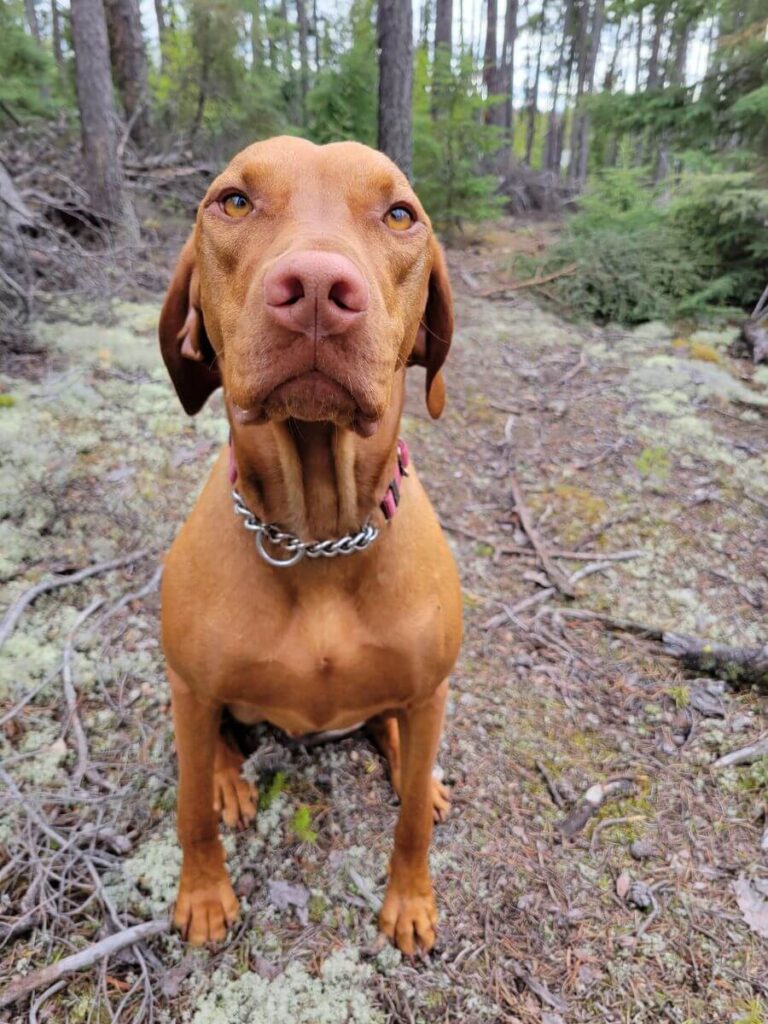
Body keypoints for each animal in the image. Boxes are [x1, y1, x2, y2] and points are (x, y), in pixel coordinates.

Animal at [157, 134, 462, 950]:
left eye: (400, 214)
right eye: (233, 201)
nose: (320, 288)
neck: (319, 533)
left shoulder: (431, 688)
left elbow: (410, 826)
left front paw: (410, 902)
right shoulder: (191, 685)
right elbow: (189, 809)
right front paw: (203, 894)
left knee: (398, 739)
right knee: (215, 746)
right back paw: (229, 779)